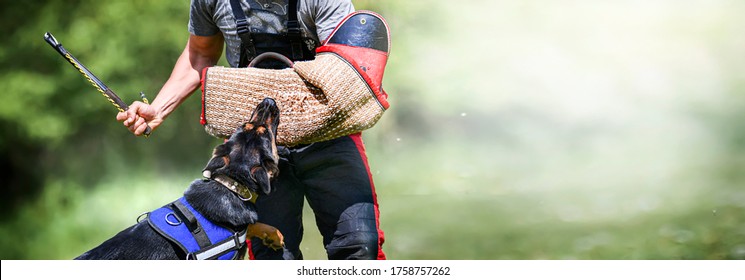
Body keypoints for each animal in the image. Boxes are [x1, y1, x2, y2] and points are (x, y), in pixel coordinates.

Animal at [77, 97, 284, 260]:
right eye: (265, 132)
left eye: (245, 126)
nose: (268, 101)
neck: (231, 184)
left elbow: (256, 226)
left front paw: (273, 236)